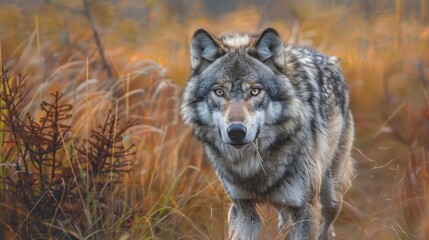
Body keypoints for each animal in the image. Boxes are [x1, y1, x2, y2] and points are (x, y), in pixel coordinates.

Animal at [179, 26, 352, 240]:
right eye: (219, 92)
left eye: (255, 91)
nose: (236, 132)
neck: (254, 164)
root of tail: (329, 59)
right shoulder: (243, 208)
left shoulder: (306, 209)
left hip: (331, 195)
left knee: (328, 226)